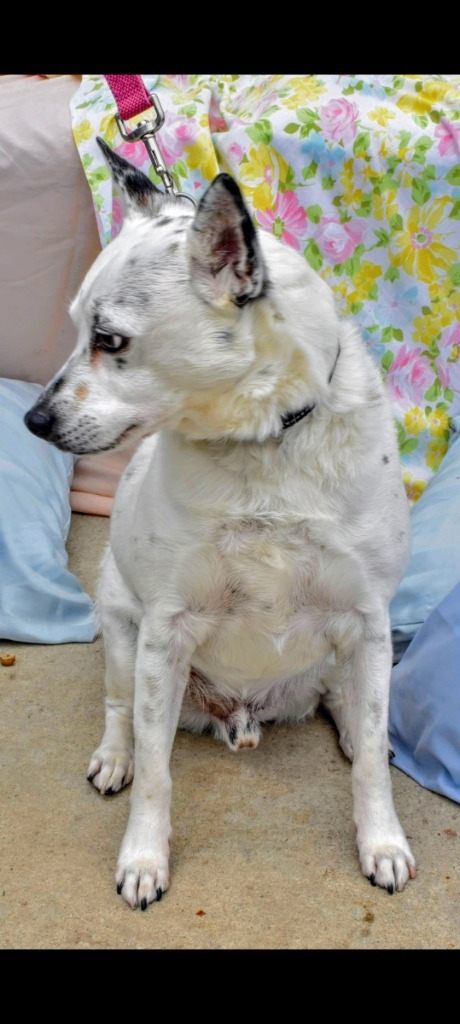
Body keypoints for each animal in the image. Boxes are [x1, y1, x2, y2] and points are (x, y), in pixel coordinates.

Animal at [25, 138, 415, 913]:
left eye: (109, 338)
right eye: (77, 326)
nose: (33, 420)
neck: (262, 447)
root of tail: (242, 712)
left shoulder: (367, 620)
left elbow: (369, 768)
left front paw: (381, 841)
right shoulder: (164, 632)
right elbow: (157, 772)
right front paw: (144, 858)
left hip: (355, 651)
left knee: (344, 703)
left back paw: (356, 729)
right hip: (122, 631)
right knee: (122, 713)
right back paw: (113, 756)